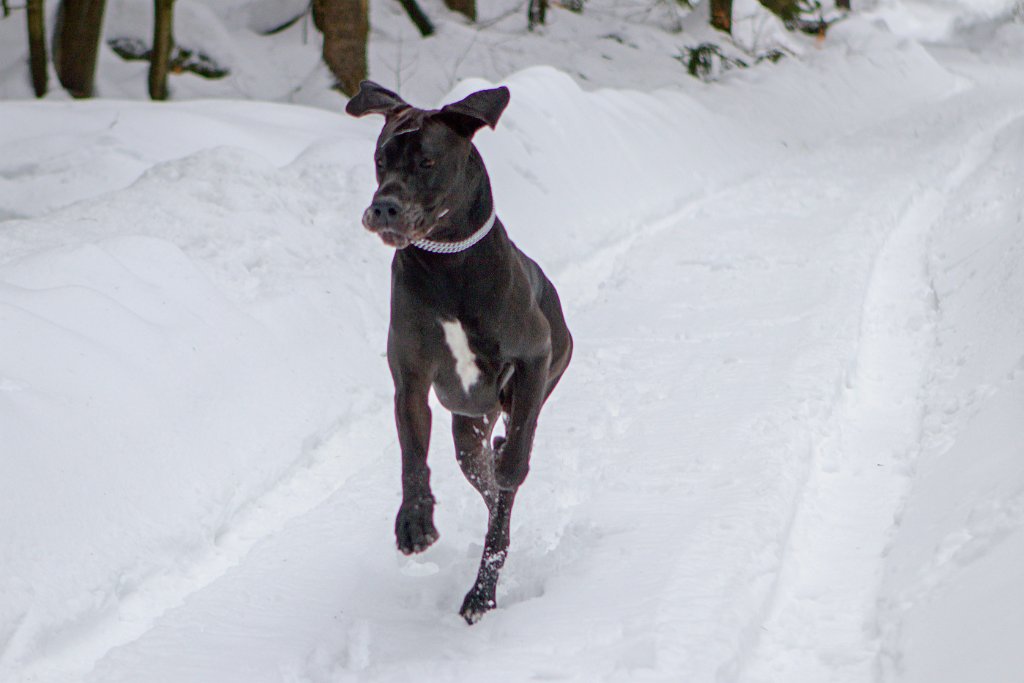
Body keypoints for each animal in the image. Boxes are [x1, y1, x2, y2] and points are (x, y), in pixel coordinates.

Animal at [346, 81, 573, 626]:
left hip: (548, 367)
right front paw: (414, 520)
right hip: (468, 432)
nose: (383, 206)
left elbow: (518, 451)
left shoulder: (533, 357)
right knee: (488, 488)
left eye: (427, 162)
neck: (447, 264)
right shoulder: (409, 381)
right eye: (381, 159)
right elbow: (412, 454)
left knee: (505, 481)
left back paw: (484, 586)